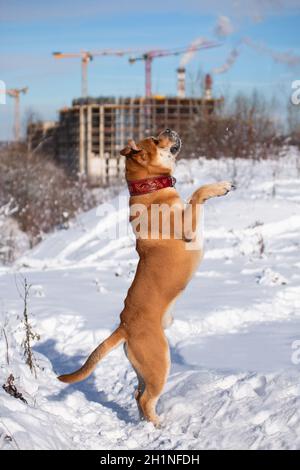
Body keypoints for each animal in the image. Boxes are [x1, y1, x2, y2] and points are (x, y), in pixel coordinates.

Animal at [58, 129, 232, 426]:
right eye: (155, 138)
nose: (169, 130)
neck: (149, 186)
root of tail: (124, 326)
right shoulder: (187, 226)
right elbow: (197, 193)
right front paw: (219, 187)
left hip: (144, 368)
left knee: (137, 394)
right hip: (159, 361)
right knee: (145, 399)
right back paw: (159, 426)